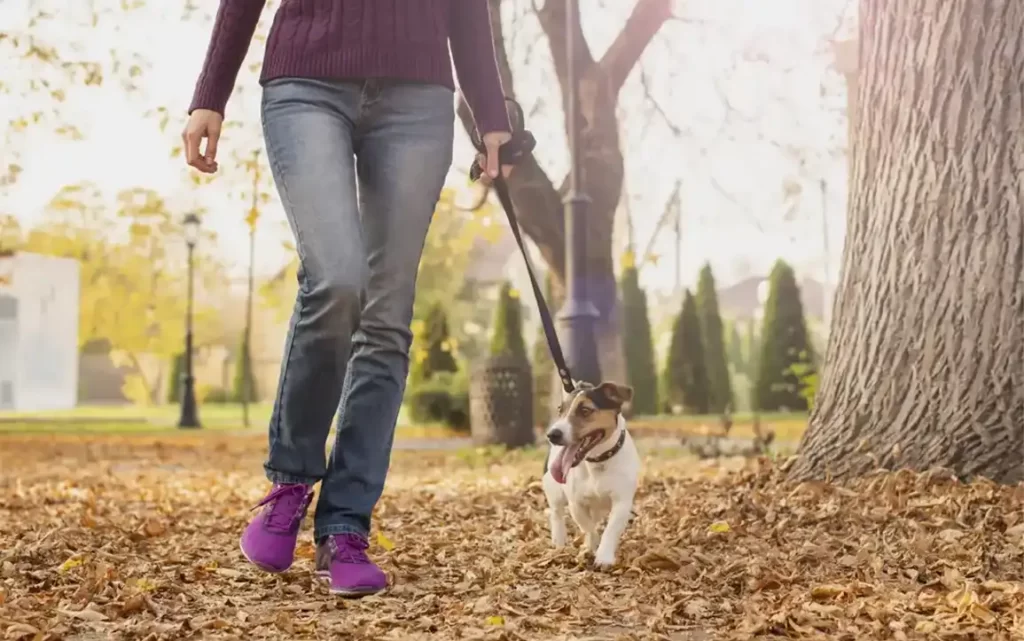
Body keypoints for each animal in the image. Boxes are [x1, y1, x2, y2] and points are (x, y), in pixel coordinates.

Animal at [540, 378, 634, 565]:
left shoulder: (622, 502)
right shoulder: (576, 503)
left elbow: (610, 529)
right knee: (556, 513)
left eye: (585, 410)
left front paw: (604, 557)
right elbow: (588, 527)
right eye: (560, 410)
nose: (552, 434)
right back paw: (559, 542)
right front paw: (590, 547)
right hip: (553, 491)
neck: (598, 461)